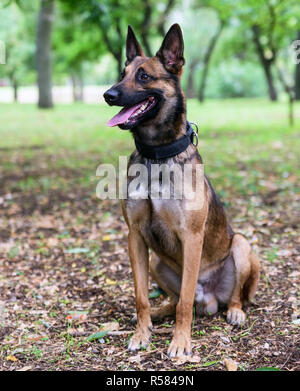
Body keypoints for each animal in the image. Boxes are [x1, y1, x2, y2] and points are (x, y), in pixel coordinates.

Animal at [103, 23, 260, 358]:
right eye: (122, 73)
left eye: (144, 76)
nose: (108, 95)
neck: (156, 155)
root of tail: (209, 299)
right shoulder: (135, 236)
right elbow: (141, 296)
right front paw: (141, 334)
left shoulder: (192, 237)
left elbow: (185, 302)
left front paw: (180, 342)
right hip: (157, 262)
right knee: (172, 299)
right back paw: (160, 312)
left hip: (241, 245)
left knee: (229, 296)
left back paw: (235, 312)